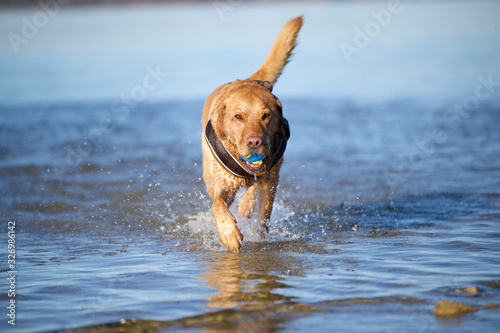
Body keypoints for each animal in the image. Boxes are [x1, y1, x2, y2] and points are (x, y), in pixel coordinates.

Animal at [201, 16, 302, 252]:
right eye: (238, 116)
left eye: (266, 115)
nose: (254, 141)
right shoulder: (224, 184)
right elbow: (217, 205)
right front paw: (228, 234)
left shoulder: (271, 180)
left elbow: (263, 218)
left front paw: (260, 238)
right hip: (209, 175)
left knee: (253, 188)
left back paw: (246, 204)